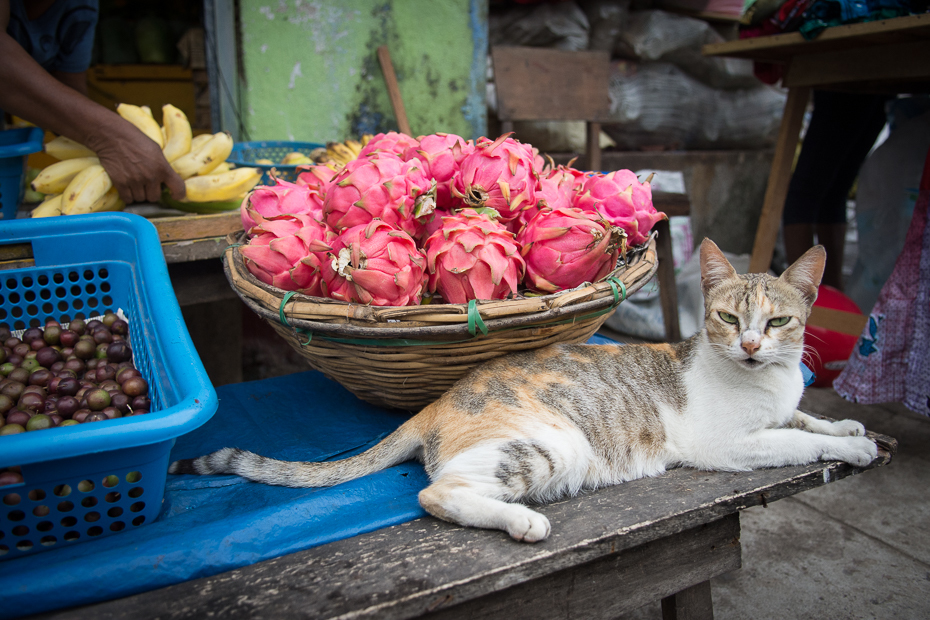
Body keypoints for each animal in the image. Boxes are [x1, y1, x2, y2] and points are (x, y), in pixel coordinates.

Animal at [169, 239, 876, 544]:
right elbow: (790, 441)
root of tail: (440, 401)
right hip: (551, 447)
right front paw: (853, 449)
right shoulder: (727, 445)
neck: (763, 382)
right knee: (436, 494)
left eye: (778, 322)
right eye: (730, 319)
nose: (752, 346)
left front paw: (846, 428)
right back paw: (521, 521)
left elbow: (806, 421)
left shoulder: (785, 406)